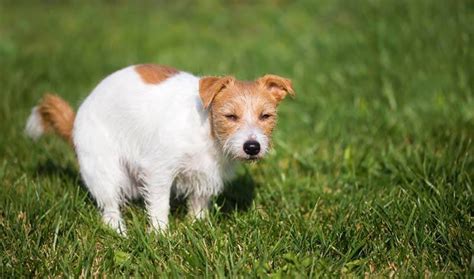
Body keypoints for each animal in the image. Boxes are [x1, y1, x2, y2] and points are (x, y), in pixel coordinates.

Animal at [25, 64, 294, 235]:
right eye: (230, 116)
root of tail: (73, 123)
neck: (207, 130)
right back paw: (118, 230)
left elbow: (199, 203)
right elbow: (159, 204)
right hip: (103, 169)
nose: (252, 147)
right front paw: (160, 234)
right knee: (109, 205)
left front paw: (198, 227)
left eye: (266, 116)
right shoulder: (159, 171)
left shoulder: (206, 176)